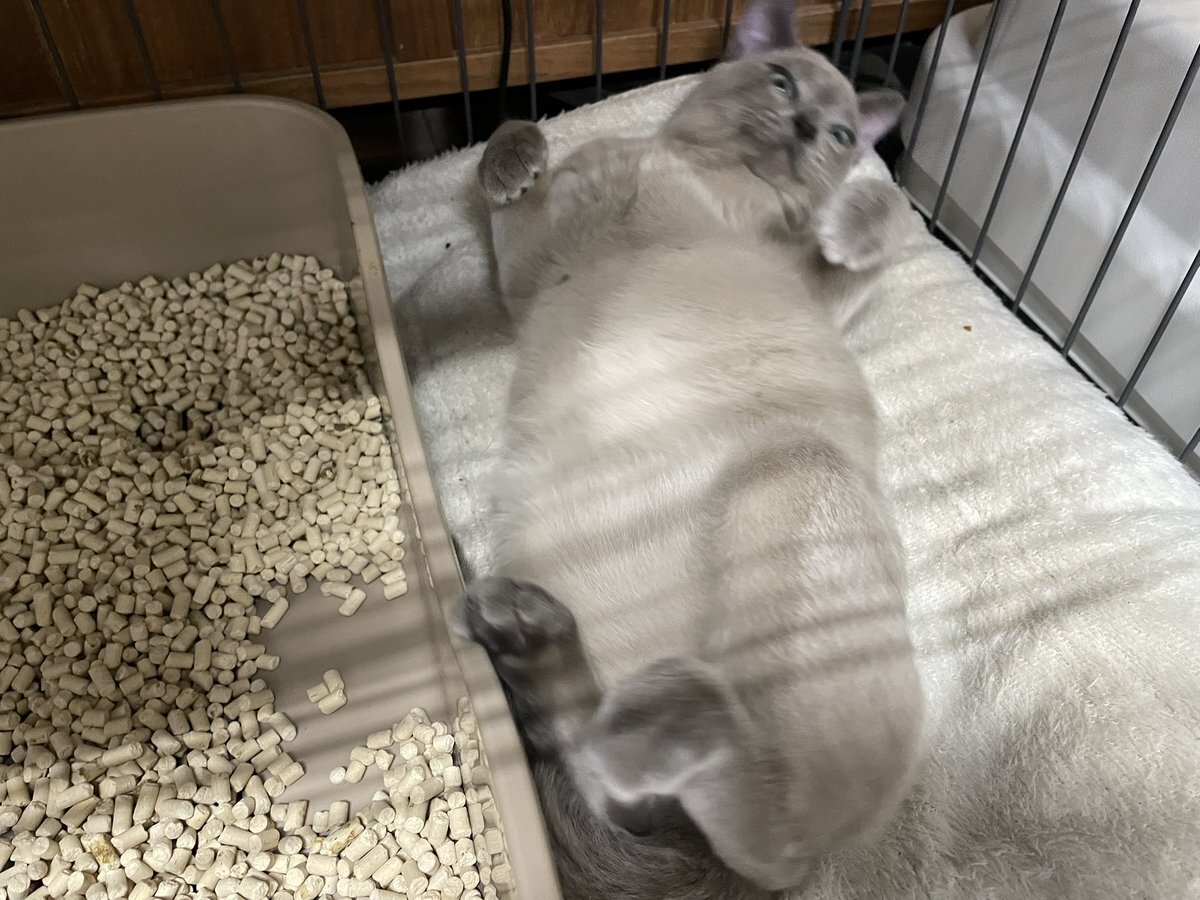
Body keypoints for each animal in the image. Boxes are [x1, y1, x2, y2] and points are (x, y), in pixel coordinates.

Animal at [457, 1, 925, 896]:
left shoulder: (809, 279)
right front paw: (514, 164)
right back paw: (528, 635)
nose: (806, 129)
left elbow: (898, 213)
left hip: (796, 479)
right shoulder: (530, 271)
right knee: (625, 794)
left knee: (768, 841)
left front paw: (854, 221)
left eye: (842, 134)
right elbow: (507, 128)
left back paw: (653, 707)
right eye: (780, 82)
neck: (705, 165)